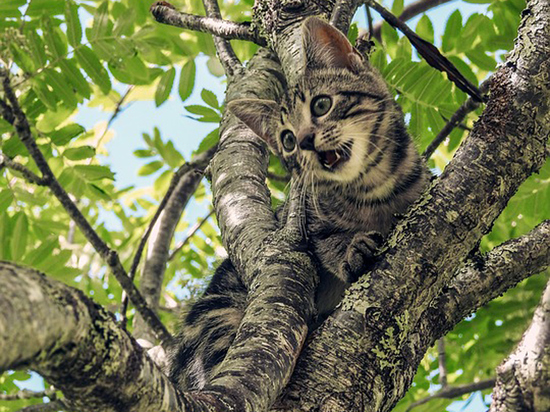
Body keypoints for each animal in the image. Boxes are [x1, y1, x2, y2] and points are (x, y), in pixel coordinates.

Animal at [170, 16, 430, 390]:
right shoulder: (303, 222)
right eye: (288, 140)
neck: (371, 189)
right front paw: (351, 248)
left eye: (321, 105)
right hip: (218, 315)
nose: (306, 140)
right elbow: (325, 240)